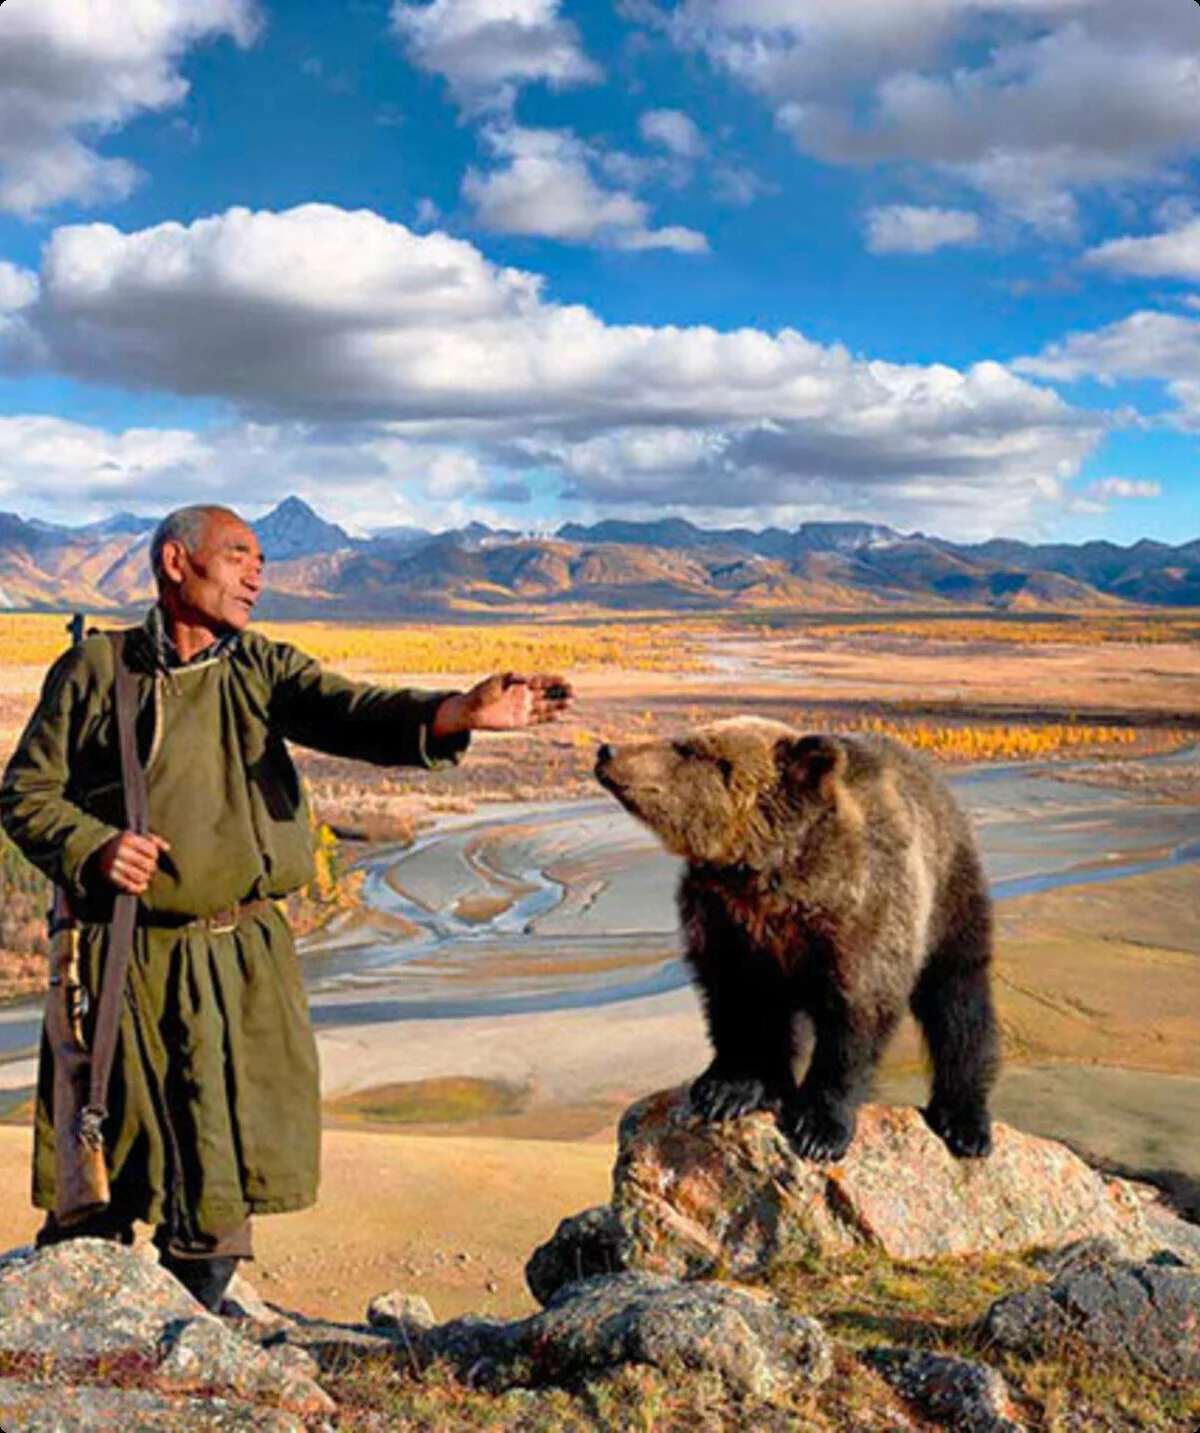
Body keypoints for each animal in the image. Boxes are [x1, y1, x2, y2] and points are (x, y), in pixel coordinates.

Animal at [594, 717, 998, 1162]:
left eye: (687, 748)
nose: (607, 751)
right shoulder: (726, 921)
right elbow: (734, 1002)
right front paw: (727, 1089)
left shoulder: (862, 917)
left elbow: (855, 1019)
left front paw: (819, 1128)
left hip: (949, 897)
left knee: (959, 1002)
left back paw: (964, 1122)